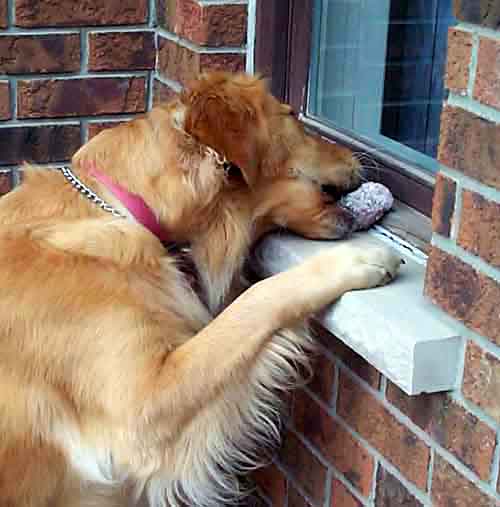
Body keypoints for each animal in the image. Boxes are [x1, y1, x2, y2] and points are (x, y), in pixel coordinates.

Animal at [0, 72, 402, 507]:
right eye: (292, 115)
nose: (360, 157)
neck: (117, 206)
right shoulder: (144, 407)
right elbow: (255, 301)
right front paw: (356, 260)